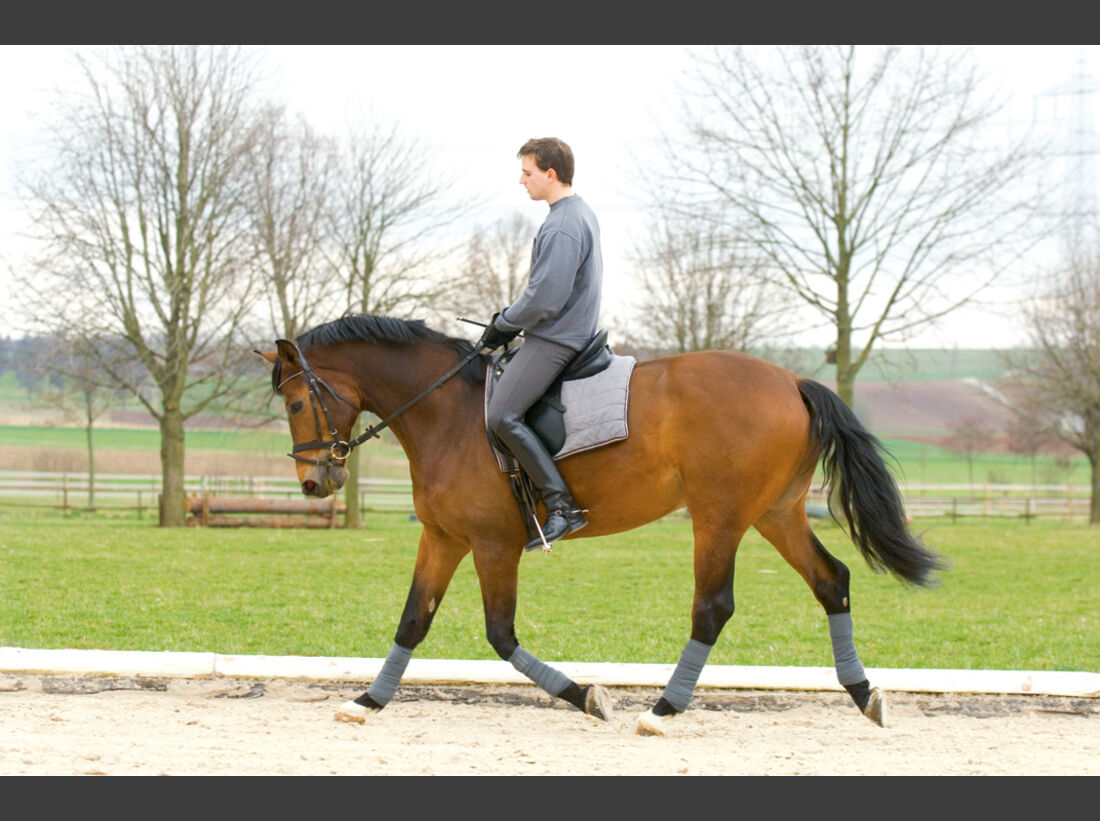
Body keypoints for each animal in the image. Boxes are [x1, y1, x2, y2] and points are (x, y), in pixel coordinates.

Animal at [261, 314, 941, 735]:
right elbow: (412, 622)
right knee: (832, 581)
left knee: (713, 607)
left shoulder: (493, 543)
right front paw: (365, 702)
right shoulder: (444, 538)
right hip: (776, 513)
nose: (314, 483)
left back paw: (662, 711)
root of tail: (793, 381)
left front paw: (589, 697)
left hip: (719, 517)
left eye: (294, 403)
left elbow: (500, 635)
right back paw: (866, 695)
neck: (445, 415)